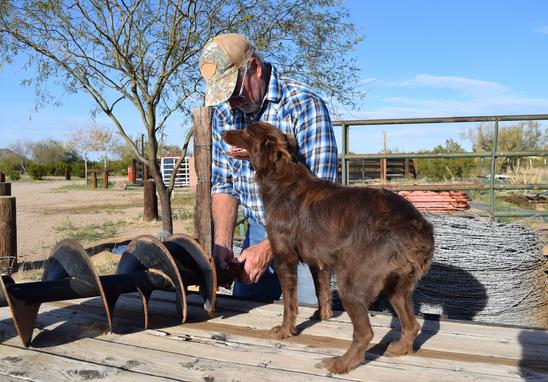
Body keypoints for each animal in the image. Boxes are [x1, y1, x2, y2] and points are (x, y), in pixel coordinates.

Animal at [222, 122, 432, 374]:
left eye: (246, 131)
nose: (222, 132)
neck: (279, 175)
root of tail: (420, 228)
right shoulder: (317, 261)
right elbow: (321, 290)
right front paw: (323, 315)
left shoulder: (284, 257)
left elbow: (289, 303)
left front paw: (284, 331)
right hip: (397, 286)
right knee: (412, 325)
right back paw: (400, 348)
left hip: (353, 283)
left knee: (365, 333)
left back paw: (340, 363)